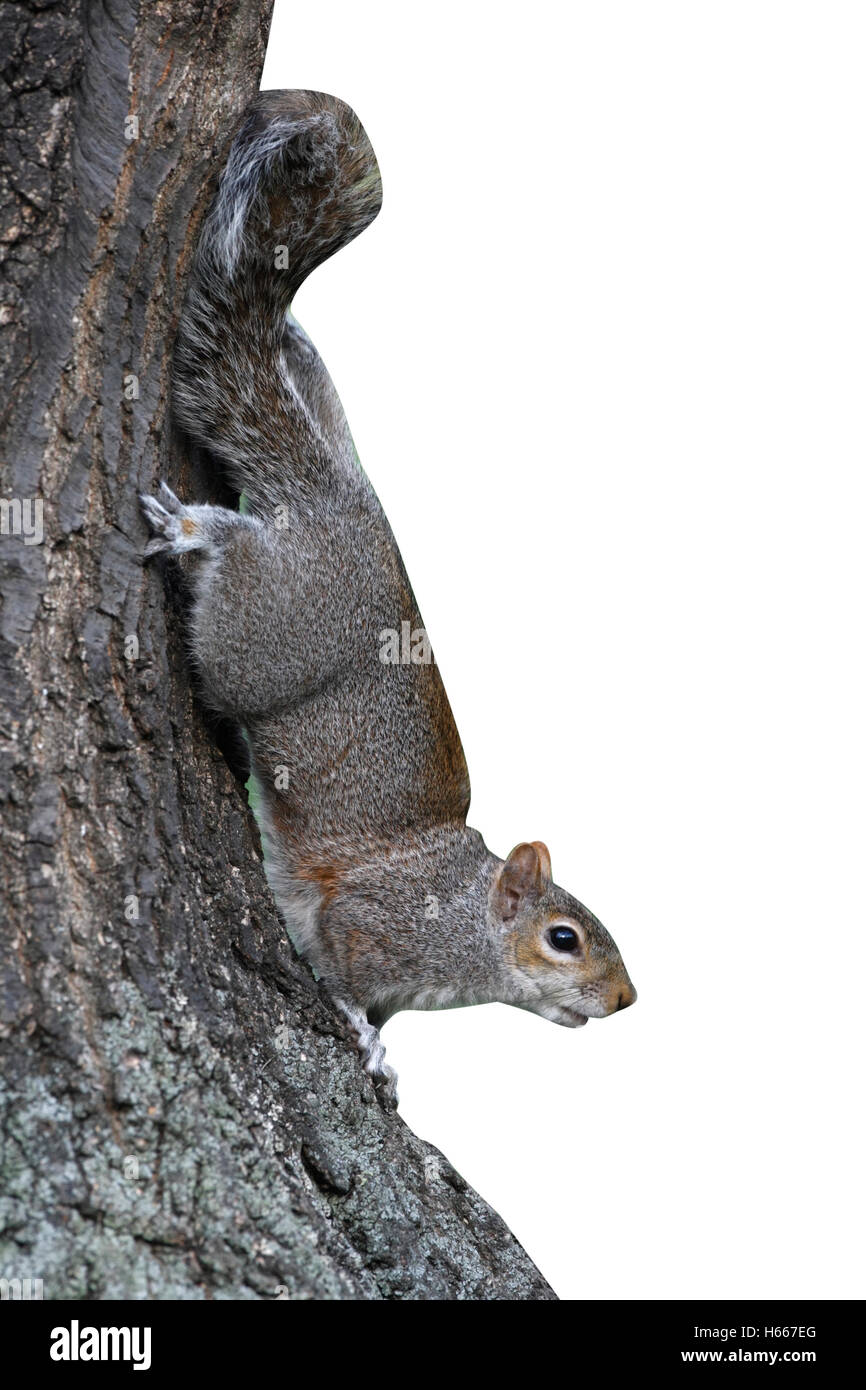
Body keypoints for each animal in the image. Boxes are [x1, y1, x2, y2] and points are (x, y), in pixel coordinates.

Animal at [139, 86, 633, 1106]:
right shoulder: (371, 919)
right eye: (564, 938)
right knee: (235, 604)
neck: (461, 916)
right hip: (265, 634)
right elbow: (338, 971)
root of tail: (336, 504)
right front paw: (366, 1042)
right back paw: (199, 533)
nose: (626, 999)